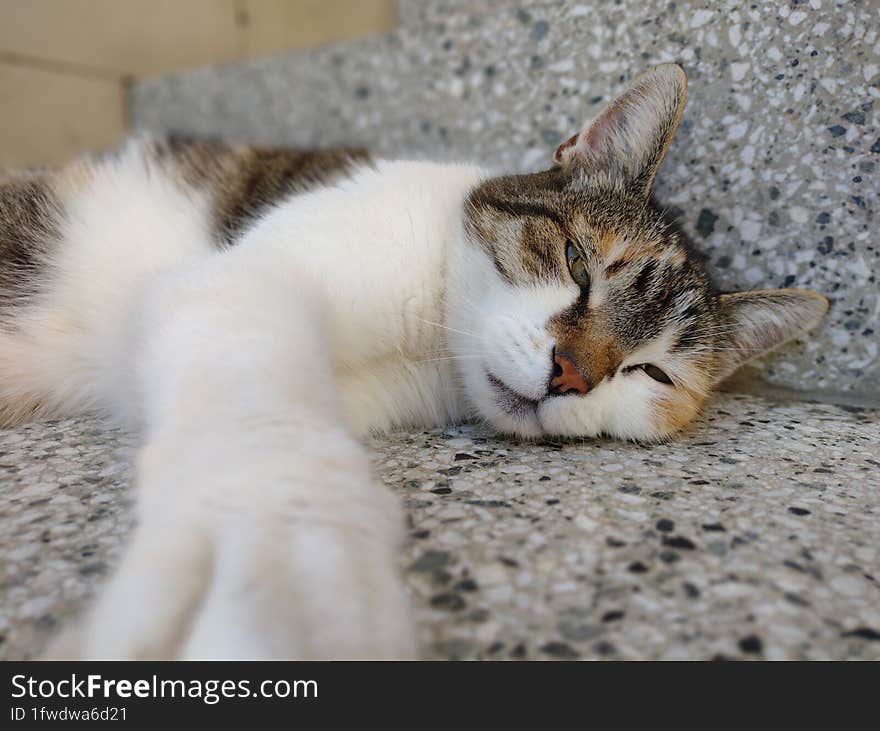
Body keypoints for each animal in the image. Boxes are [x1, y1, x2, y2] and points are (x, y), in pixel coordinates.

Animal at [0, 66, 824, 660]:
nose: (570, 373)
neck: (435, 335)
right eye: (576, 262)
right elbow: (265, 425)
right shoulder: (236, 277)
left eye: (649, 373)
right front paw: (286, 563)